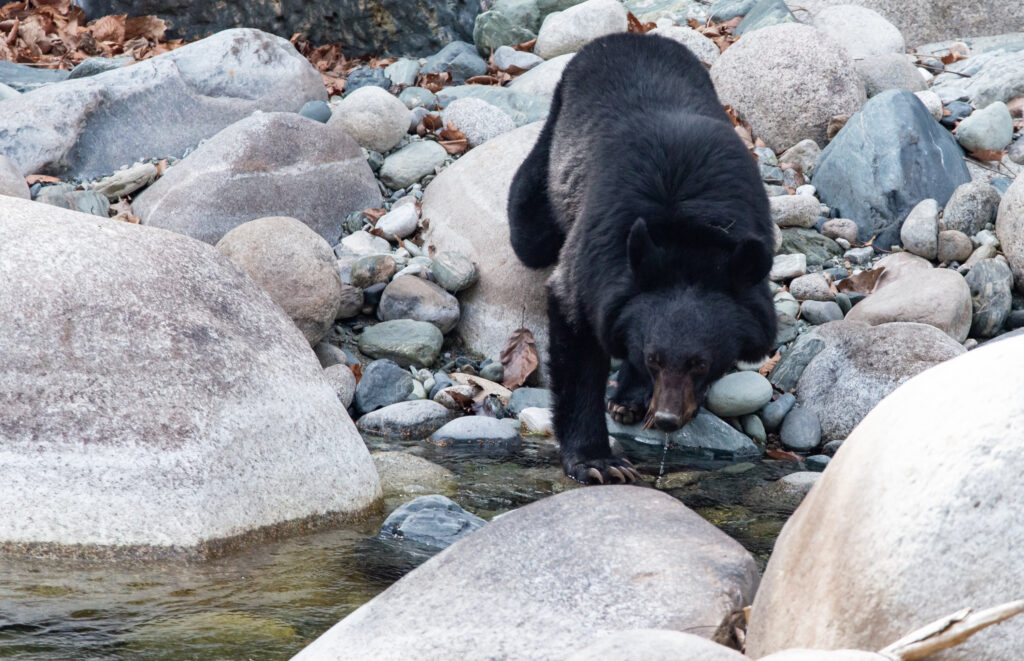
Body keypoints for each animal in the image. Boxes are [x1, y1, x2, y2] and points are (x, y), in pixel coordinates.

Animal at [507, 32, 770, 487]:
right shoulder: (600, 244)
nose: (666, 419)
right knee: (528, 220)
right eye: (655, 359)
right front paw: (598, 462)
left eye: (701, 364)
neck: (691, 237)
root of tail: (628, 35)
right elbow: (575, 324)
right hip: (555, 145)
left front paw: (632, 400)